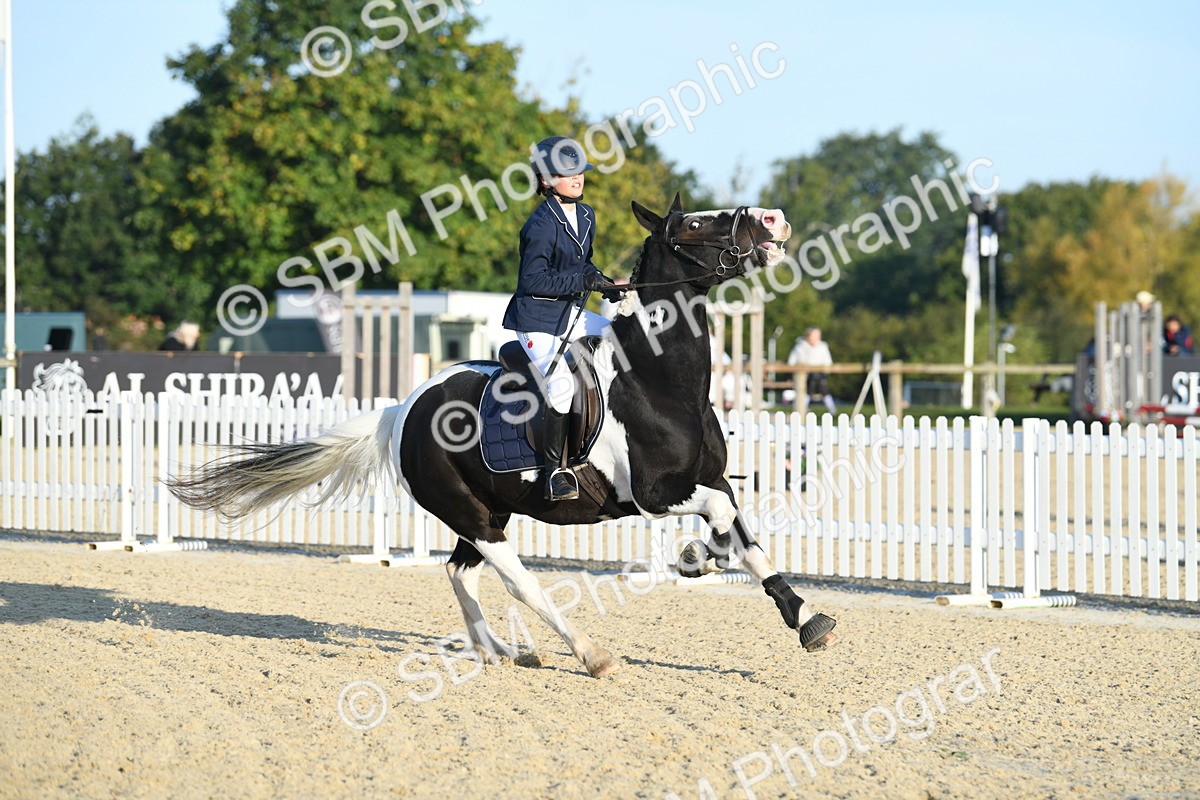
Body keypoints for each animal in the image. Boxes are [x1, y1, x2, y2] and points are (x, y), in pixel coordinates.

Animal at [168, 194, 838, 678]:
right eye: (697, 222)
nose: (772, 220)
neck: (658, 379)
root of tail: (402, 409)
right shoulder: (656, 494)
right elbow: (723, 516)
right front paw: (703, 557)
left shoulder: (707, 477)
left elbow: (746, 536)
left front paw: (801, 615)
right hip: (474, 515)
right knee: (519, 581)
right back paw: (587, 654)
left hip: (487, 511)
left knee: (459, 573)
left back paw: (507, 651)